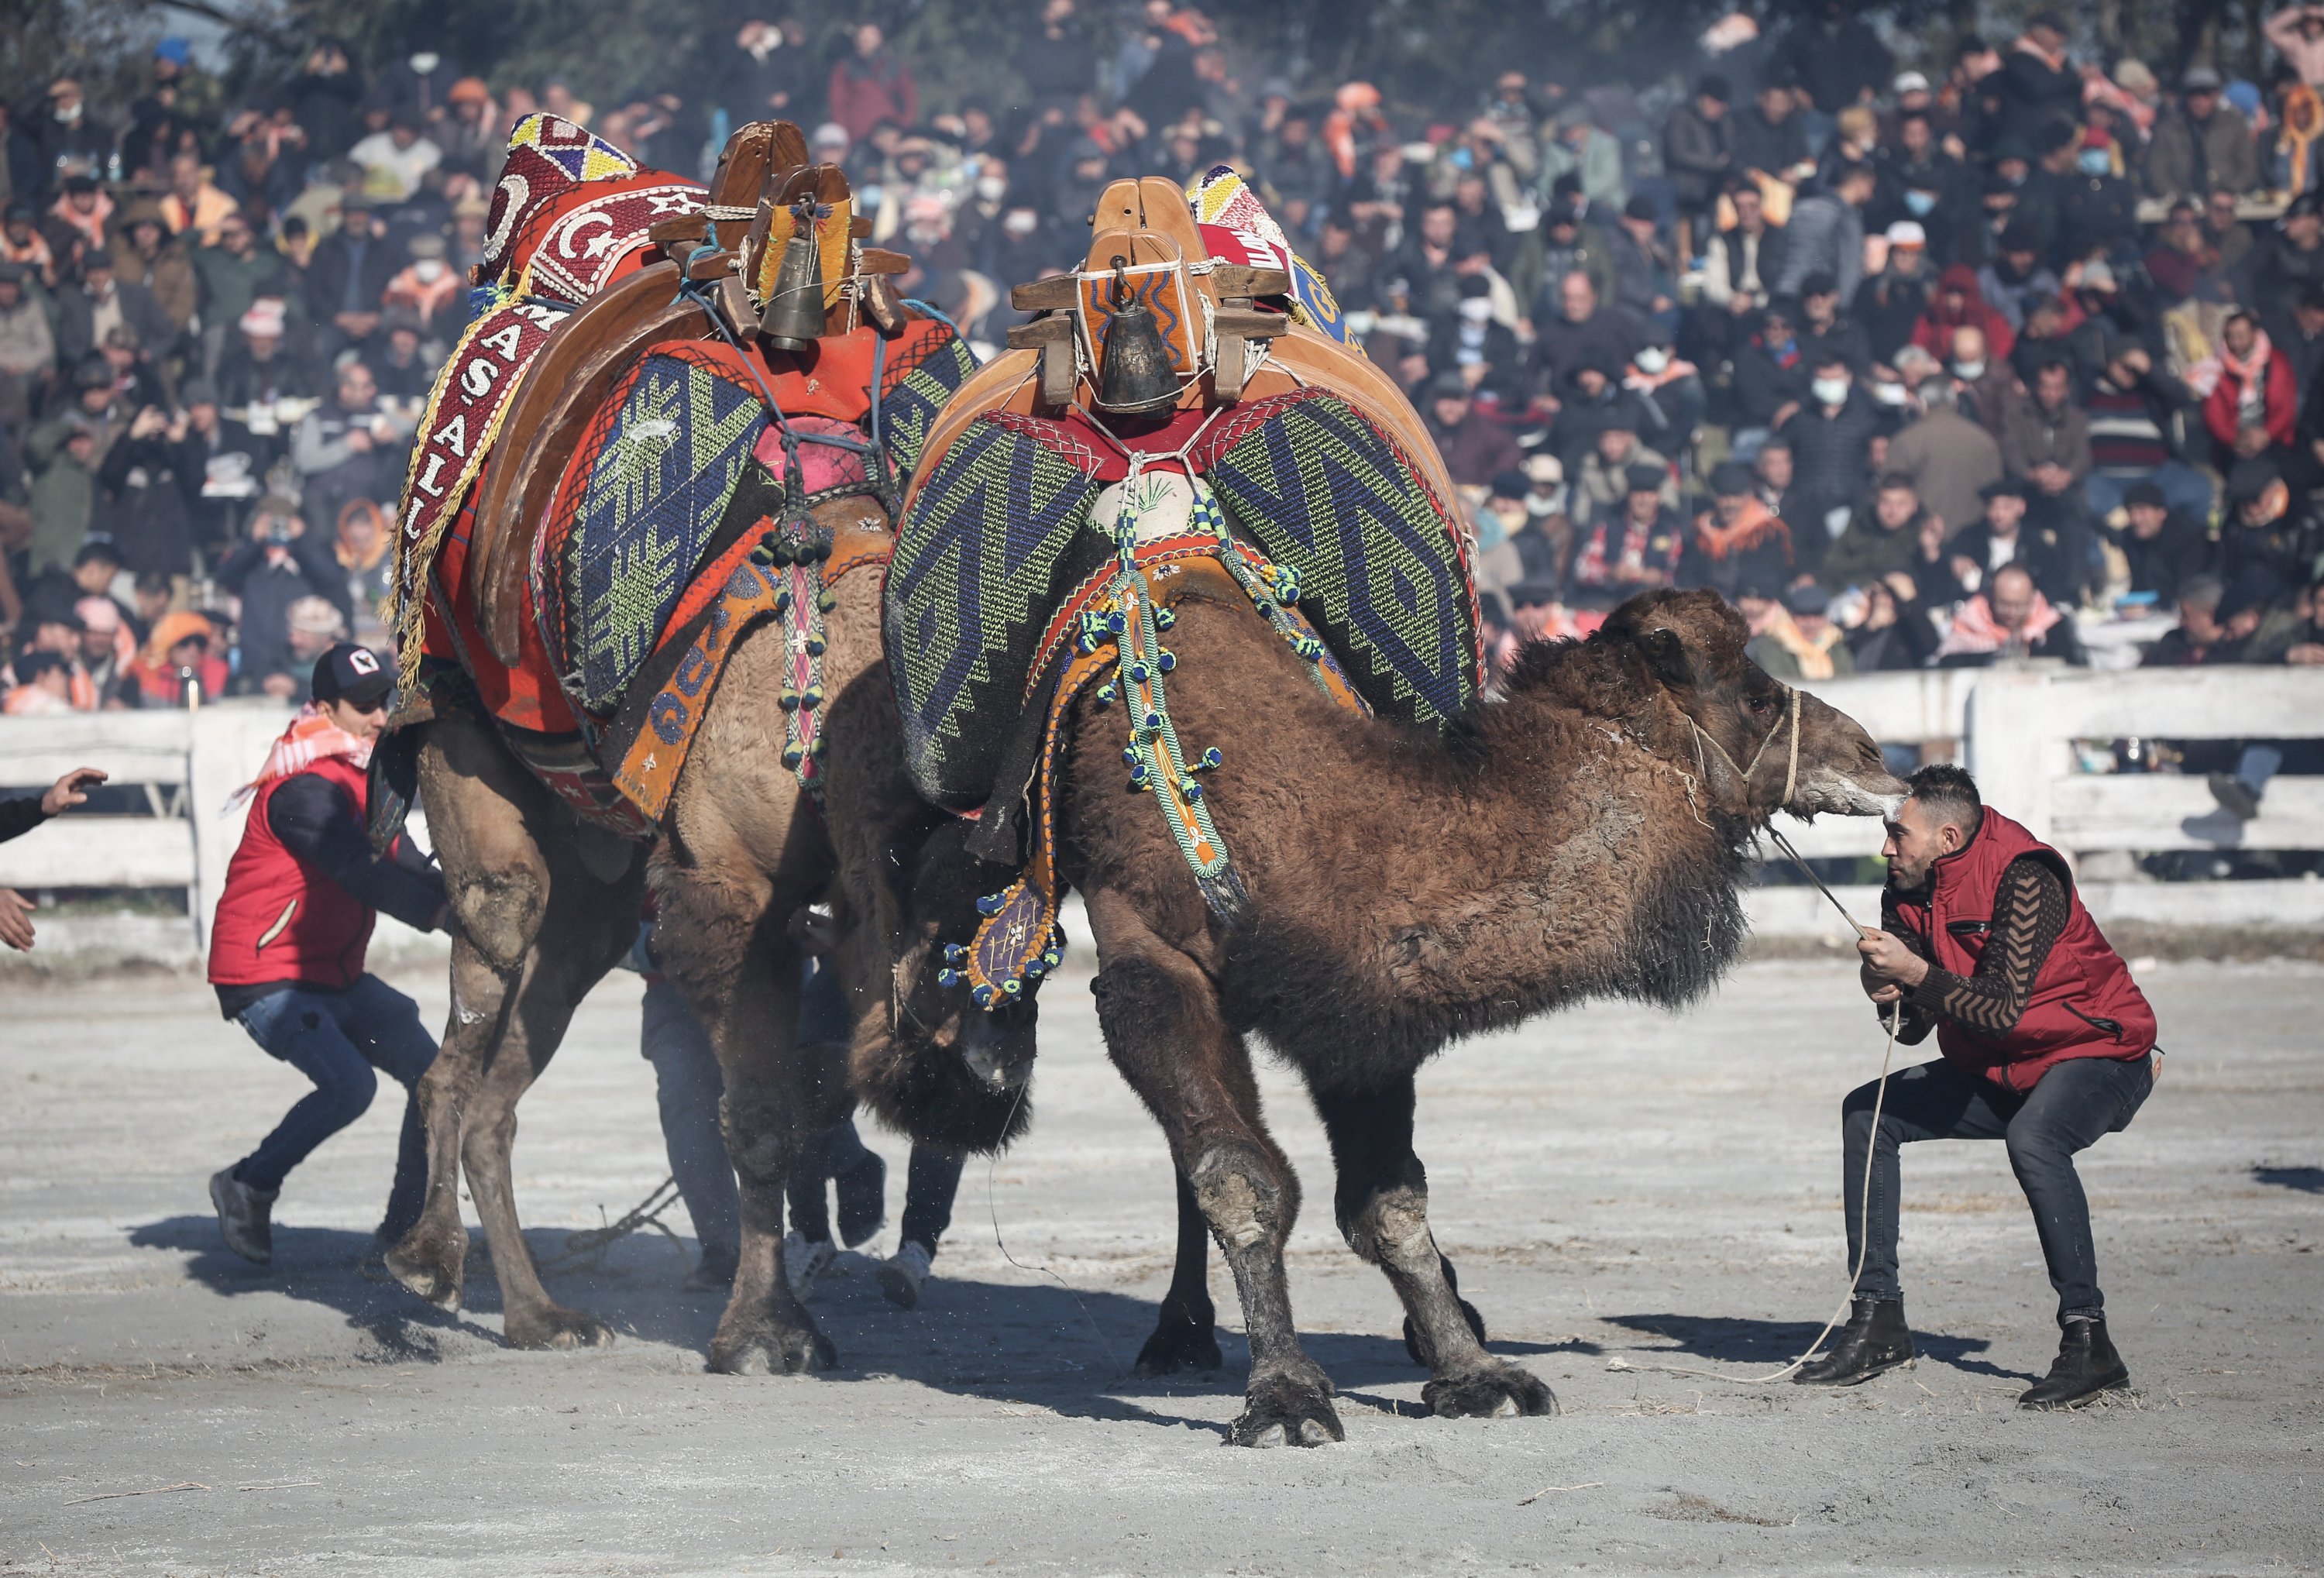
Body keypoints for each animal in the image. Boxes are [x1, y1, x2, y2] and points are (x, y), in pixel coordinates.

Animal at [846, 590, 1896, 1441]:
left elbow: (1387, 1203)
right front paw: (1286, 1399)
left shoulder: (1358, 1014)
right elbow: (1243, 1180)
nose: (1876, 755)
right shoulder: (1150, 951)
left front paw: (1475, 1372)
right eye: (1753, 696)